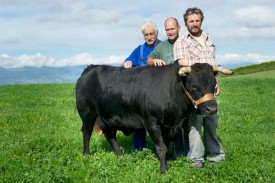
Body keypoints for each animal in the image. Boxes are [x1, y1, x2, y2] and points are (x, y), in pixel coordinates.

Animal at [76, 63, 235, 173]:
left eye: (214, 84)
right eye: (194, 86)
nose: (212, 109)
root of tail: (91, 68)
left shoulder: (170, 126)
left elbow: (166, 145)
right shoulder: (151, 123)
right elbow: (161, 147)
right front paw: (164, 169)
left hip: (108, 118)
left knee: (110, 136)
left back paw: (120, 155)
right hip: (87, 114)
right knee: (86, 133)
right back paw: (86, 154)